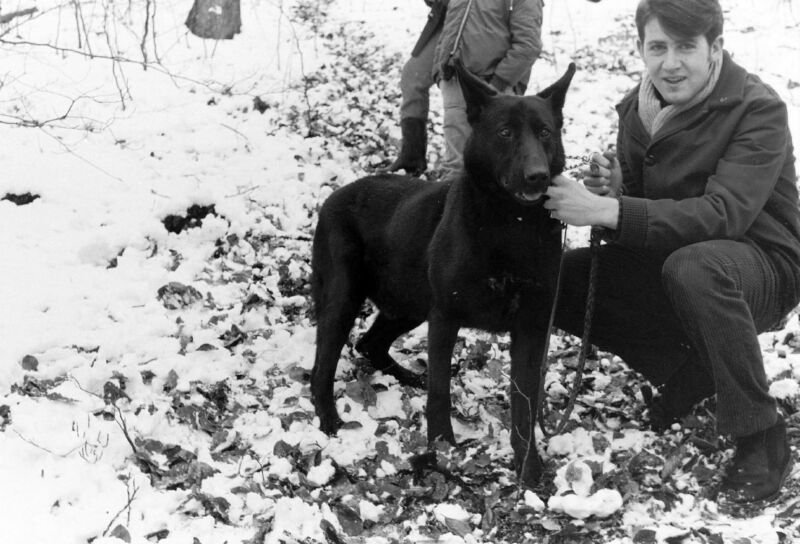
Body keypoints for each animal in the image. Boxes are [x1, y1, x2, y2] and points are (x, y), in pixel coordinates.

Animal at [310, 61, 576, 486]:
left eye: (545, 132)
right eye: (505, 132)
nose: (537, 175)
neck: (510, 225)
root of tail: (336, 195)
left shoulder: (532, 328)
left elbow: (524, 404)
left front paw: (528, 466)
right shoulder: (445, 317)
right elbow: (440, 392)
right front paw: (443, 451)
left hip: (408, 304)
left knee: (369, 344)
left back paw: (405, 376)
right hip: (345, 299)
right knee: (323, 365)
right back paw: (329, 420)